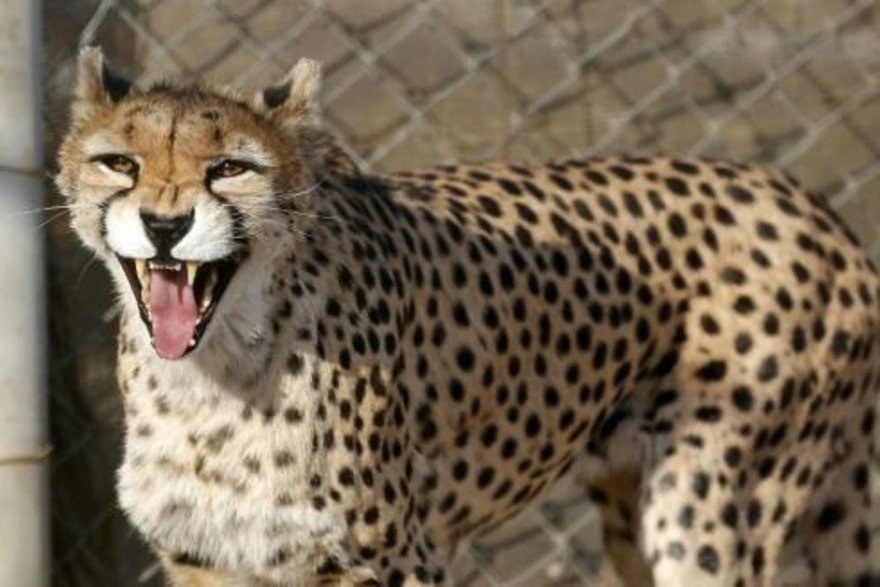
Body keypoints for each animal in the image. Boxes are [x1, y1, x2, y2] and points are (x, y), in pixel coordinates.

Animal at [56, 46, 880, 587]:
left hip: (709, 510)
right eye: (120, 163)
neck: (212, 373)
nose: (166, 225)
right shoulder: (211, 560)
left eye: (230, 168)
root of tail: (815, 207)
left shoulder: (395, 559)